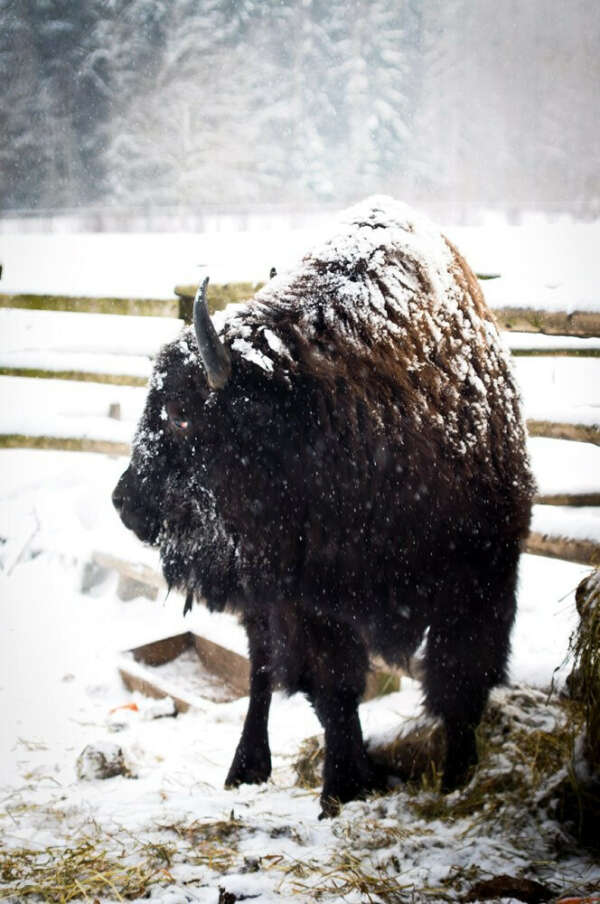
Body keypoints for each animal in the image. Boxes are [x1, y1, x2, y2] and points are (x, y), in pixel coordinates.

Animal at [112, 200, 536, 820]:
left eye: (181, 412)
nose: (124, 503)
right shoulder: (309, 603)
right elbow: (333, 691)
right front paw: (343, 786)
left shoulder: (482, 579)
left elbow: (459, 681)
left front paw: (459, 778)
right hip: (263, 598)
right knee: (262, 672)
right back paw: (246, 768)